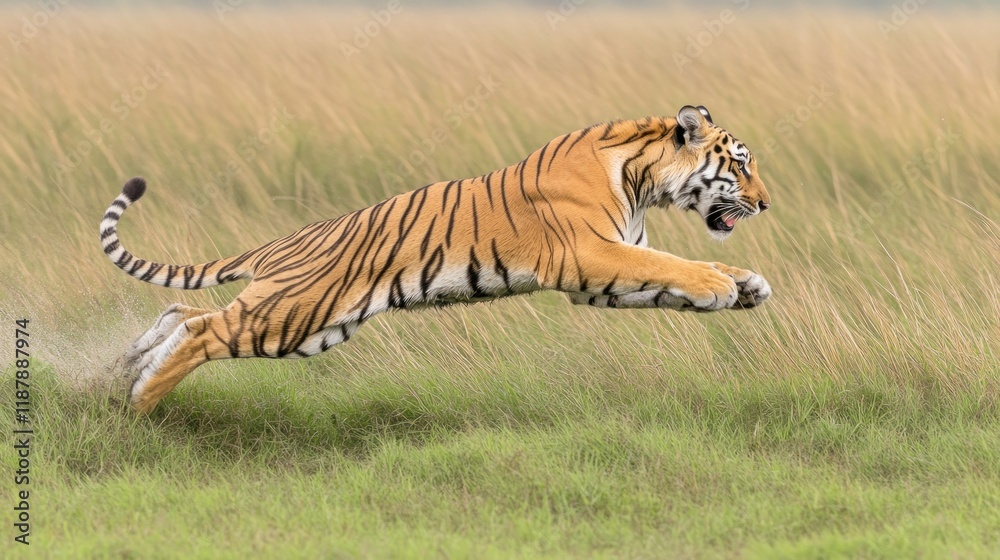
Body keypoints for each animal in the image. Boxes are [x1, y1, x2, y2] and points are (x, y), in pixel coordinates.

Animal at [100, 105, 772, 413]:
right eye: (740, 165)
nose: (766, 203)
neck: (641, 177)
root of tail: (287, 240)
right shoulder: (590, 255)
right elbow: (674, 264)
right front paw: (720, 284)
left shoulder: (600, 275)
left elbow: (669, 273)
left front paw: (746, 284)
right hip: (292, 317)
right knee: (202, 330)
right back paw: (140, 401)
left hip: (311, 322)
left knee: (182, 312)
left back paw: (124, 373)